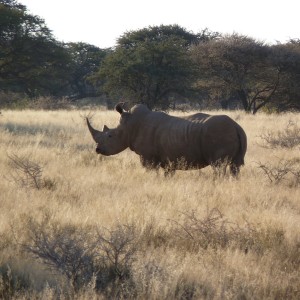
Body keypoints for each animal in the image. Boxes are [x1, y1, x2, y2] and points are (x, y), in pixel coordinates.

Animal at [86, 102, 246, 176]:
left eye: (110, 136)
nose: (97, 149)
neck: (128, 126)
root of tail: (236, 125)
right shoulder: (169, 160)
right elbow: (167, 174)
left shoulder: (148, 157)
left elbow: (151, 172)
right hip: (237, 133)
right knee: (235, 167)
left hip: (218, 133)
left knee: (218, 166)